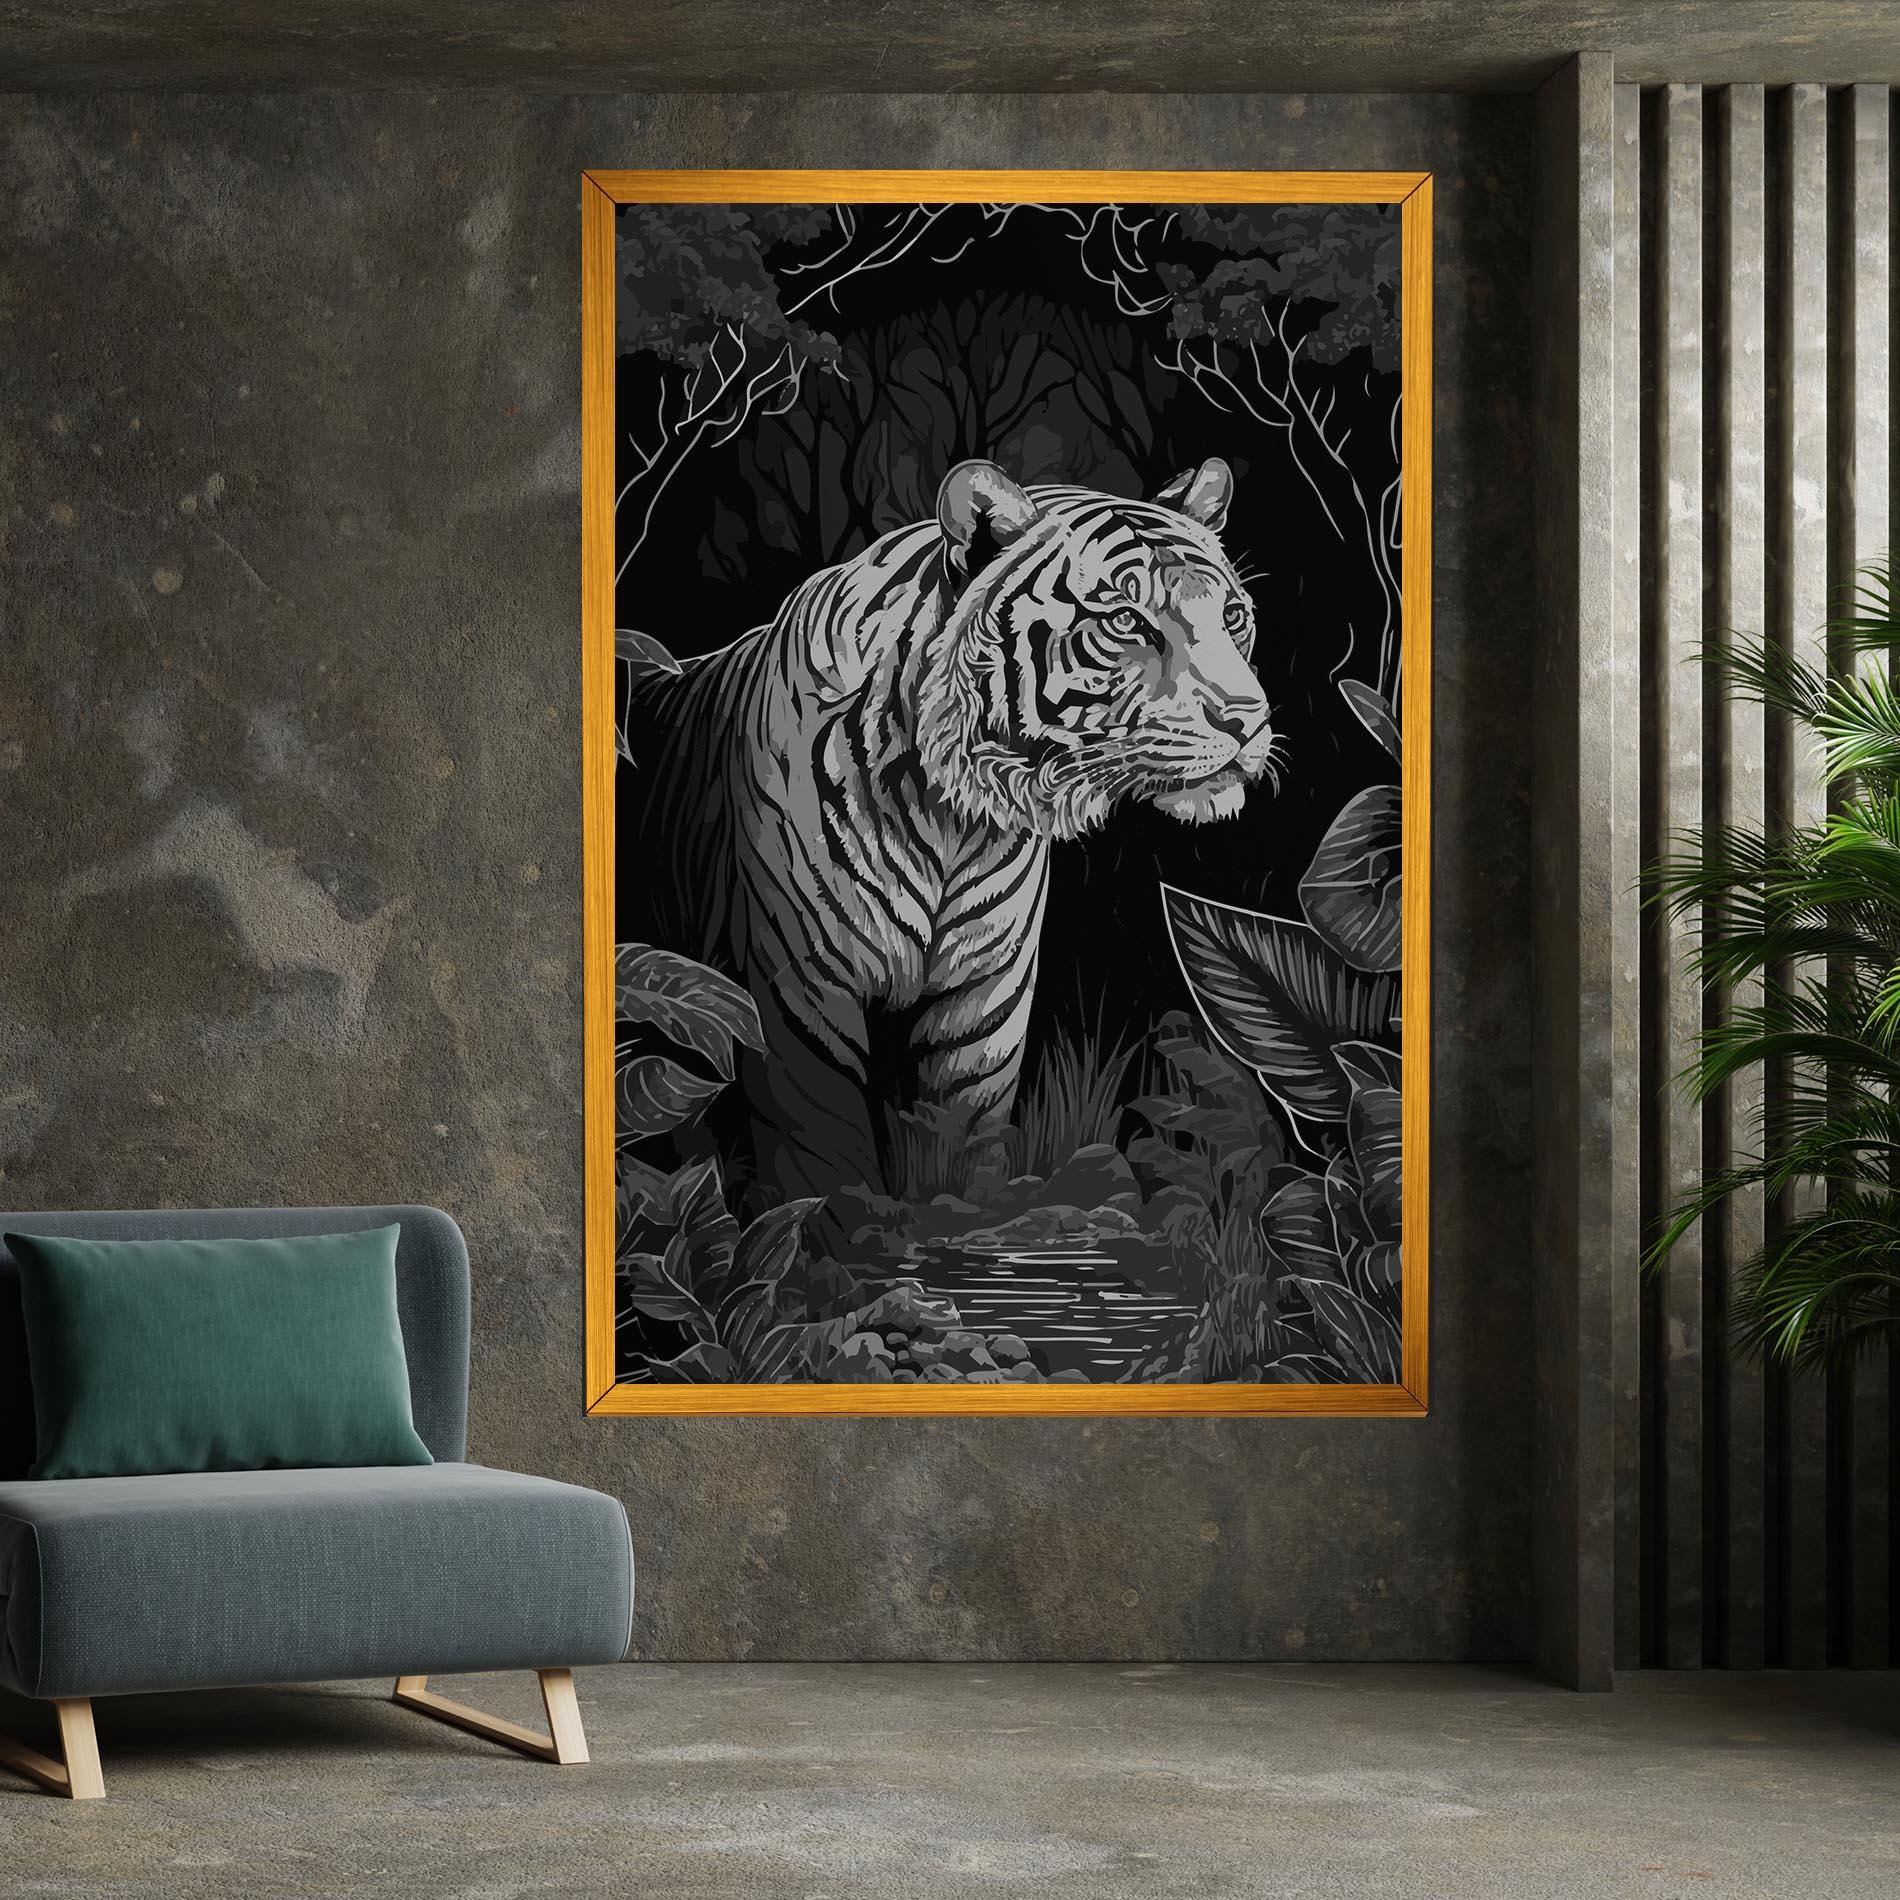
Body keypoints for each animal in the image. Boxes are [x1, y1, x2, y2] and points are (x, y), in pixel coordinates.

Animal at [625, 457, 1276, 1201]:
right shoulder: (798, 999)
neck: (953, 820)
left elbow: (964, 1150)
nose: (1248, 719)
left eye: (1231, 616)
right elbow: (822, 1164)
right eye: (1125, 621)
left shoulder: (983, 1003)